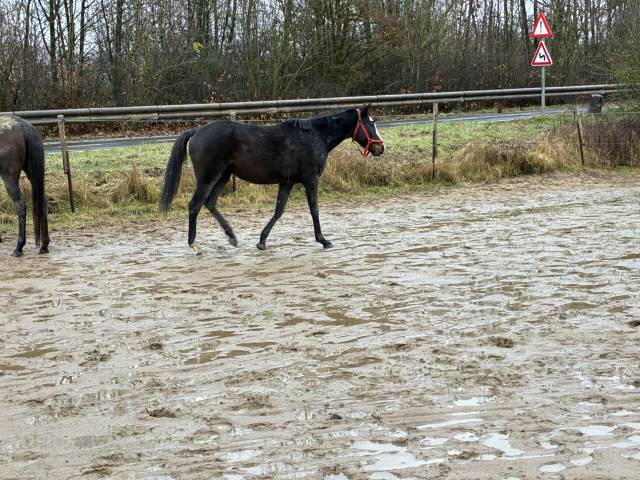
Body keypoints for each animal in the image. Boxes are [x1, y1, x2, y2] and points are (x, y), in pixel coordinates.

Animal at [0, 116, 50, 257]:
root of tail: (22, 125)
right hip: (32, 173)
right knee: (42, 201)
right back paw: (44, 245)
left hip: (9, 177)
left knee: (21, 205)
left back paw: (19, 247)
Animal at [160, 104, 384, 253]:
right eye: (369, 123)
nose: (380, 148)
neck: (316, 136)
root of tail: (197, 130)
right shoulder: (311, 180)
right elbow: (314, 209)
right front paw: (323, 240)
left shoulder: (287, 182)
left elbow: (278, 211)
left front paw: (262, 241)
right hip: (209, 177)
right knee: (195, 205)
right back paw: (194, 244)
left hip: (224, 176)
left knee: (210, 203)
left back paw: (232, 237)